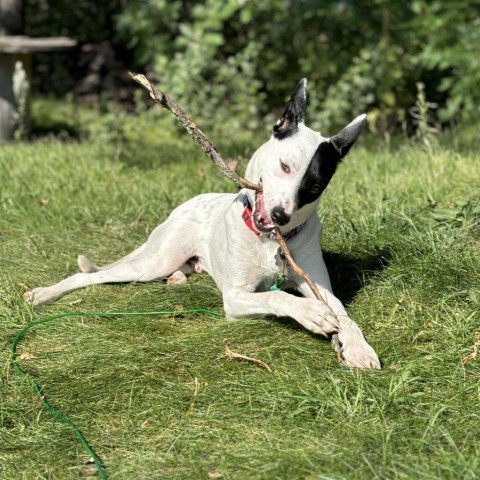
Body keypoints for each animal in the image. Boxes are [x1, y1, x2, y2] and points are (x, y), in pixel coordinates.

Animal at [26, 79, 380, 372]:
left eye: (314, 187)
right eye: (284, 165)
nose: (280, 216)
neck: (270, 242)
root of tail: (185, 205)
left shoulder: (319, 286)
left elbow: (343, 314)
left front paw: (357, 346)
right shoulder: (235, 297)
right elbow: (279, 297)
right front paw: (309, 313)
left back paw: (178, 278)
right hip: (153, 262)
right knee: (90, 276)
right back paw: (44, 294)